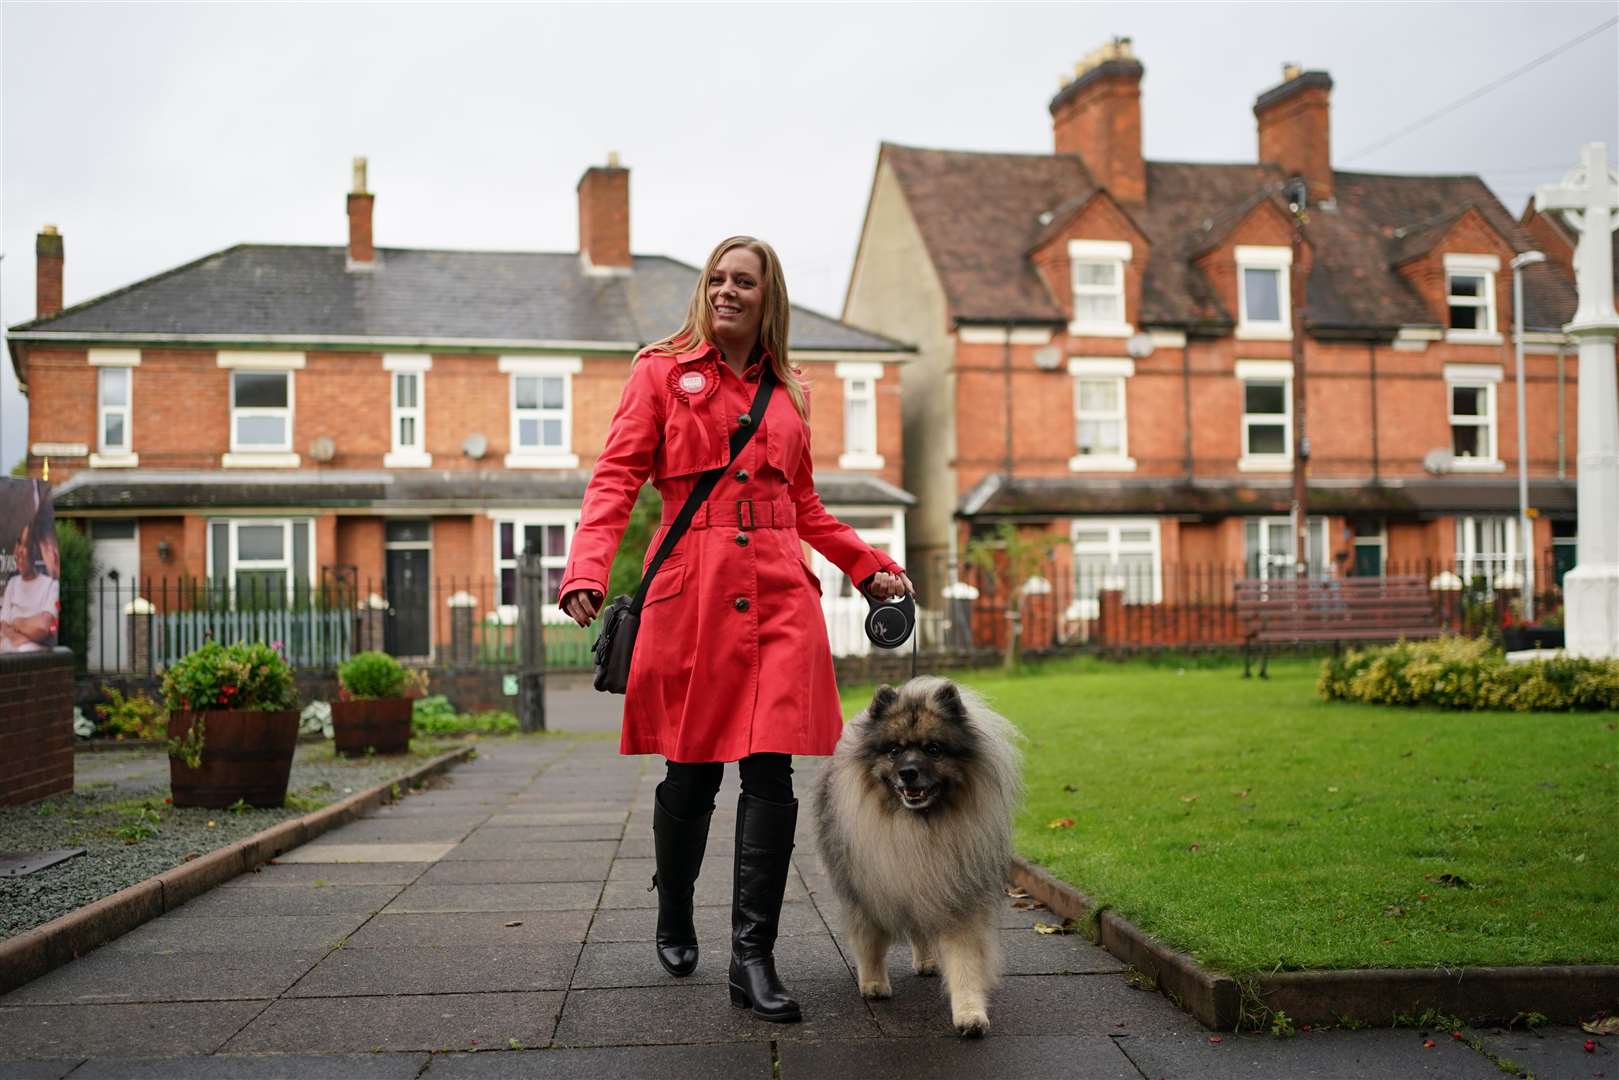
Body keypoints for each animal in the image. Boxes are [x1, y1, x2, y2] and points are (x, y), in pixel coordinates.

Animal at [809, 676, 1023, 1036]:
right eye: (894, 750)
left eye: (933, 749)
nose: (908, 772)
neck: (919, 827)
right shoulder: (866, 890)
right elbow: (870, 941)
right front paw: (873, 983)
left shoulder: (956, 893)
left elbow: (965, 961)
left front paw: (970, 1013)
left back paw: (927, 960)